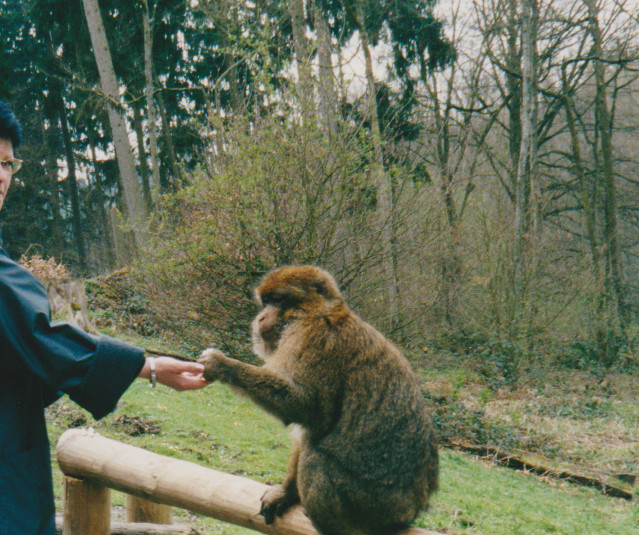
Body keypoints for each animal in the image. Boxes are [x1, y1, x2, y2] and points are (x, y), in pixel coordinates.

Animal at [200, 266, 440, 532]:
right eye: (266, 301)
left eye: (278, 300)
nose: (261, 317)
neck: (318, 313)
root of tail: (412, 508)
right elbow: (305, 429)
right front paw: (285, 493)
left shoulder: (314, 339)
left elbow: (306, 409)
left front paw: (223, 364)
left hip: (373, 506)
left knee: (315, 457)